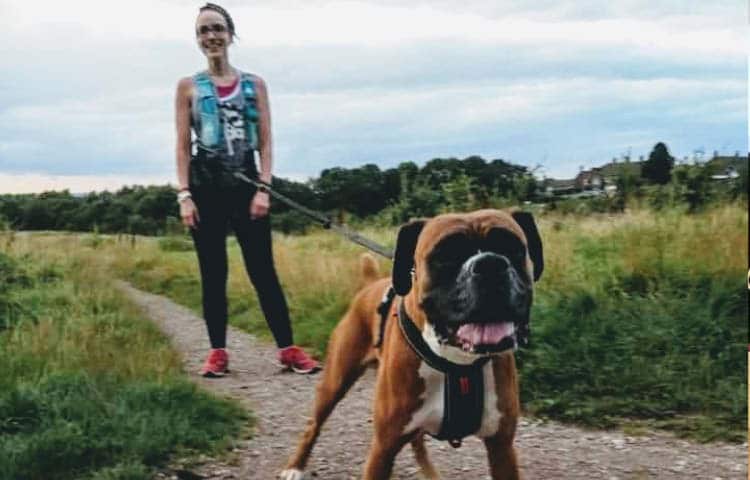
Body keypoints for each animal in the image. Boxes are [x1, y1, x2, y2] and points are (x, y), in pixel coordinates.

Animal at [280, 210, 544, 480]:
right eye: (446, 255)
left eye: (511, 247)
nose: (490, 264)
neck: (457, 364)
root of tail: (369, 285)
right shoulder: (382, 449)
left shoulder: (501, 448)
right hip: (336, 382)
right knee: (314, 425)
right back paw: (295, 466)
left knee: (416, 441)